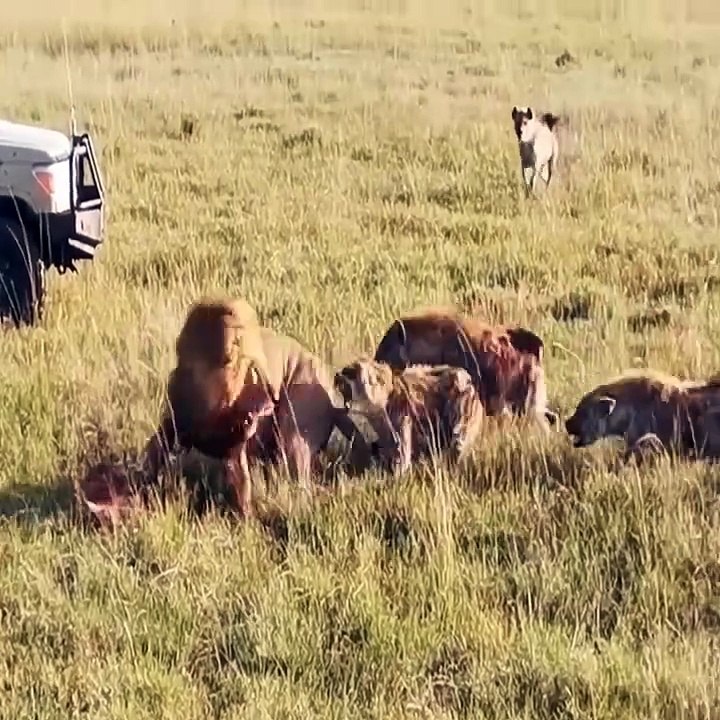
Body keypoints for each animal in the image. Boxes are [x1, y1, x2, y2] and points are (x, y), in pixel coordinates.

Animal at [140, 297, 372, 519]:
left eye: (248, 363)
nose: (268, 399)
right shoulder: (176, 417)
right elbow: (154, 449)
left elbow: (238, 475)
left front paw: (245, 522)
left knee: (296, 463)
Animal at [334, 358, 484, 476]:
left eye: (350, 372)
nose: (337, 374)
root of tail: (468, 381)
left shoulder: (402, 422)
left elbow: (402, 457)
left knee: (457, 444)